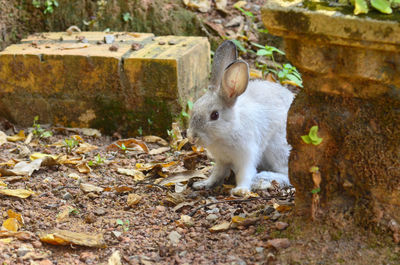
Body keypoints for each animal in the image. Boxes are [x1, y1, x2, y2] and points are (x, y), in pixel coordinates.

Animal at [188, 40, 294, 195]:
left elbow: (245, 173)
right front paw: (203, 184)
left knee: (286, 174)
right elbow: (217, 173)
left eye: (214, 115)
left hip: (277, 147)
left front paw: (241, 190)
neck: (228, 130)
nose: (192, 137)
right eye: (194, 108)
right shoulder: (222, 160)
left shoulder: (247, 155)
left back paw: (263, 179)